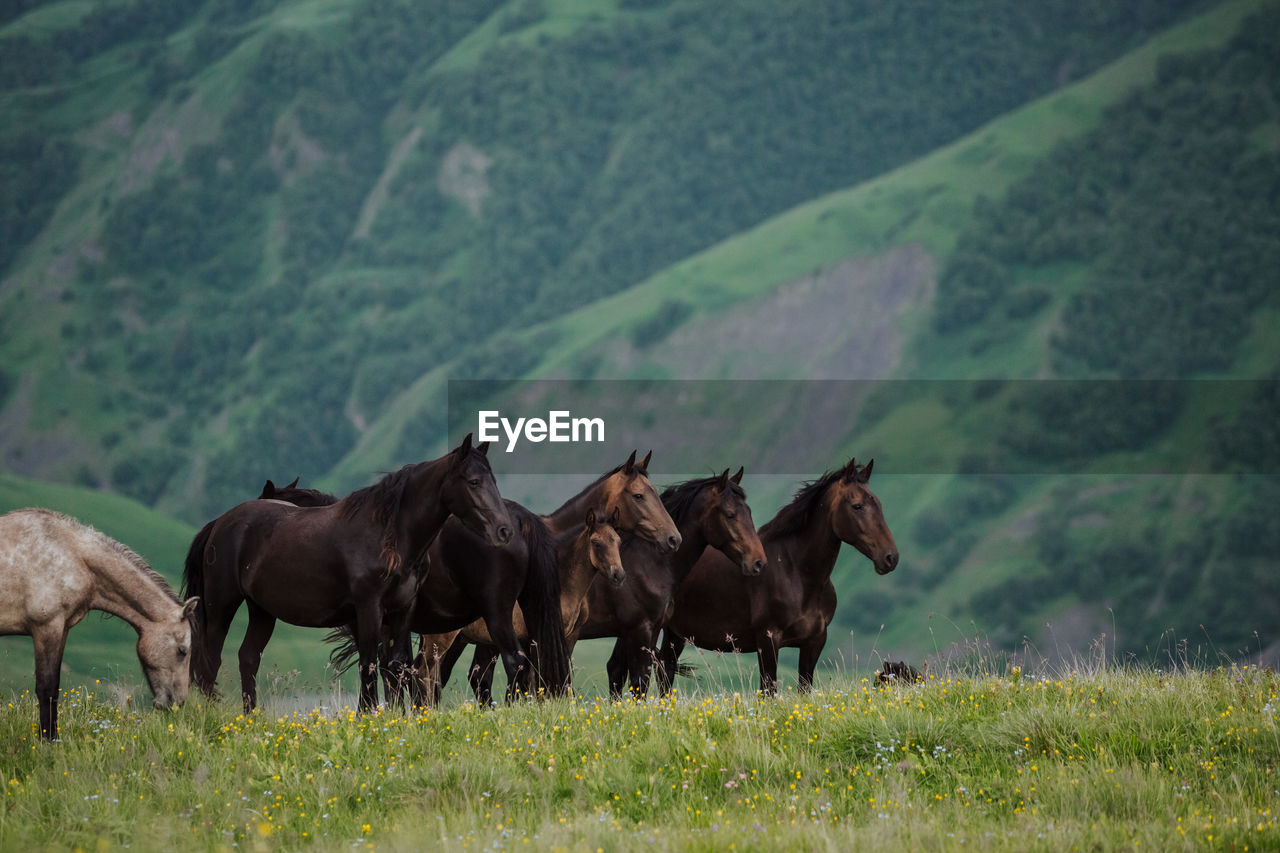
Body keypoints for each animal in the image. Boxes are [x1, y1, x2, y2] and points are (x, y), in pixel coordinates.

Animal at [0, 504, 198, 737]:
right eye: (182, 651)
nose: (177, 703)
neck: (74, 555)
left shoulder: (62, 629)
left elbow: (54, 688)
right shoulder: (47, 628)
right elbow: (46, 687)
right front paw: (48, 739)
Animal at [183, 432, 512, 712]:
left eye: (492, 481)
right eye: (473, 482)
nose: (503, 530)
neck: (389, 534)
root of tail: (220, 523)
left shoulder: (402, 610)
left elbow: (396, 665)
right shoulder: (367, 610)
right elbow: (370, 664)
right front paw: (370, 714)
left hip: (261, 610)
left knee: (248, 657)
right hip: (221, 605)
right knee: (211, 661)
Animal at [581, 466, 768, 696]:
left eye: (749, 512)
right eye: (731, 514)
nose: (758, 562)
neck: (647, 563)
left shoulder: (646, 631)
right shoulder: (640, 631)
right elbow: (639, 682)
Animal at [660, 455, 901, 696]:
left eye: (879, 504)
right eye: (857, 506)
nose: (890, 557)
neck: (797, 574)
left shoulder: (814, 642)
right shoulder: (768, 641)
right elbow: (768, 691)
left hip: (675, 635)